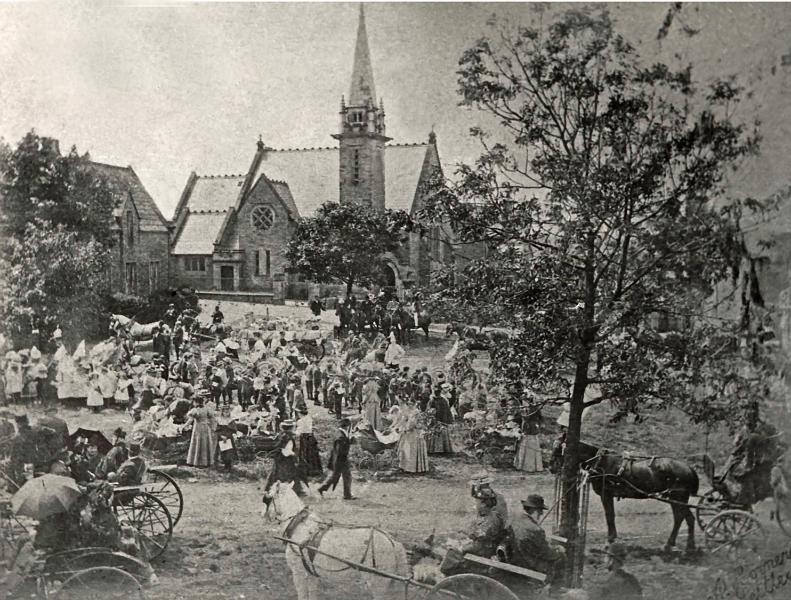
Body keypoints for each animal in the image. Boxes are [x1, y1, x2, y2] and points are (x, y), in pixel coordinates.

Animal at [262, 482, 412, 600]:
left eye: (268, 496)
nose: (264, 515)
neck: (299, 523)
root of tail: (392, 542)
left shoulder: (298, 574)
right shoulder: (311, 575)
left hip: (379, 584)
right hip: (392, 583)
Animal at [552, 440, 704, 552]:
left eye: (558, 449)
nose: (550, 466)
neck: (601, 461)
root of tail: (689, 468)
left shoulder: (606, 494)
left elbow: (609, 515)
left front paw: (610, 540)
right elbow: (610, 515)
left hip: (677, 497)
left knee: (680, 518)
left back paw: (675, 545)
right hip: (677, 498)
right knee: (686, 518)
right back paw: (687, 546)